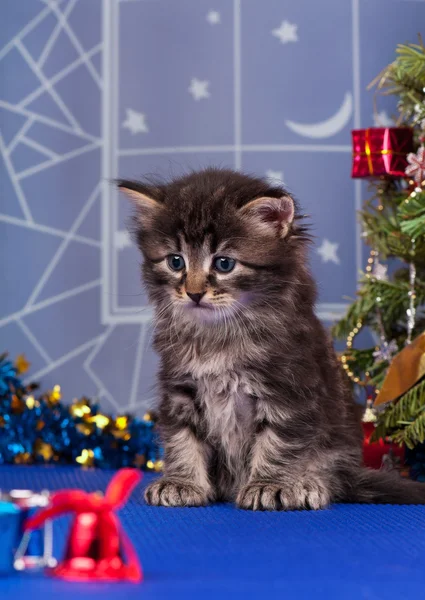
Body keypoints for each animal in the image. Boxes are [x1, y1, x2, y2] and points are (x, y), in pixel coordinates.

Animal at [117, 169, 424, 510]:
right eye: (175, 262)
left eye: (224, 263)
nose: (194, 293)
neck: (218, 335)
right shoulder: (179, 388)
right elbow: (183, 438)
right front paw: (182, 482)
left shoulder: (290, 391)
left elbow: (277, 443)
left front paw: (269, 485)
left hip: (338, 443)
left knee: (332, 476)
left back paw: (308, 485)